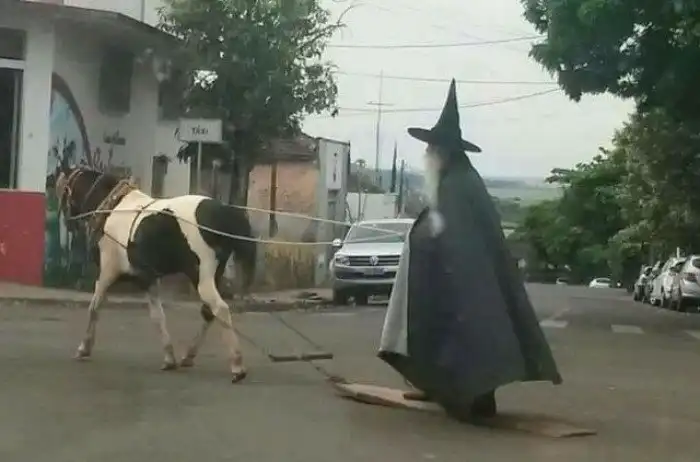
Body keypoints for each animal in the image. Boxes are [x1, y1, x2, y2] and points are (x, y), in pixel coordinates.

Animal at [55, 165, 257, 383]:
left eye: (63, 187)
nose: (68, 223)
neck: (112, 208)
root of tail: (224, 211)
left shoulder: (108, 271)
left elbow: (94, 307)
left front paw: (84, 348)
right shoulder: (148, 279)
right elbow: (158, 316)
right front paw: (169, 357)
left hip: (201, 276)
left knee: (220, 309)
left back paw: (237, 365)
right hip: (214, 275)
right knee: (209, 312)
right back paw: (189, 355)